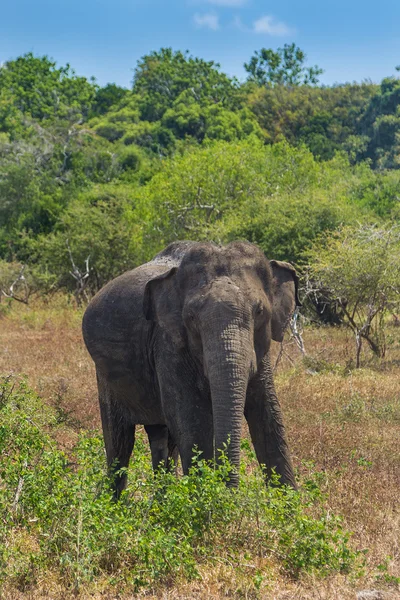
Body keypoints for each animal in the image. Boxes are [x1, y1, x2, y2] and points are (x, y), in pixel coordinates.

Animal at [82, 239, 300, 496]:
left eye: (259, 312)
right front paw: (208, 502)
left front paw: (289, 505)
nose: (230, 491)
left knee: (162, 441)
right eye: (192, 318)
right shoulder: (168, 344)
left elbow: (268, 414)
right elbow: (193, 420)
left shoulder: (260, 351)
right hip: (105, 378)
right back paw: (113, 503)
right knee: (120, 443)